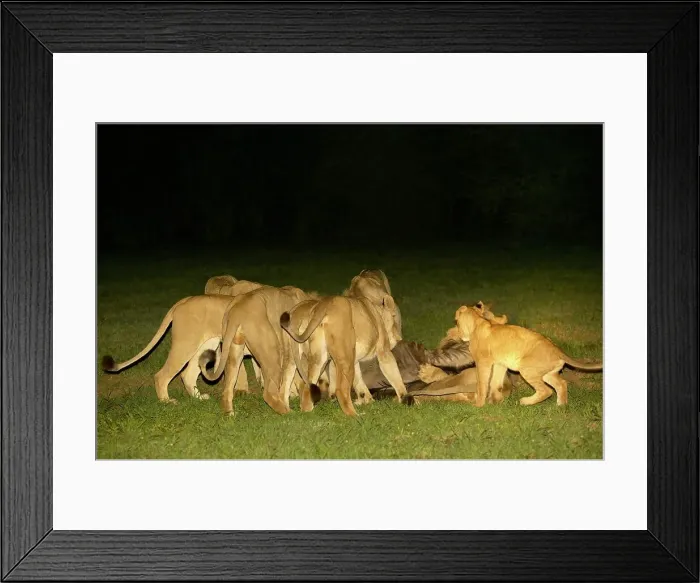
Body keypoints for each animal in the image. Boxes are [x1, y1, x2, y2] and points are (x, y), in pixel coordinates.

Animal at [455, 301, 603, 407]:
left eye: (456, 323)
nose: (459, 334)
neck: (478, 321)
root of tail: (557, 350)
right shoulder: (500, 363)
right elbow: (495, 382)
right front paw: (495, 401)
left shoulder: (483, 362)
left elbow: (482, 384)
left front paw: (479, 405)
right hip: (546, 373)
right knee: (562, 384)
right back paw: (560, 406)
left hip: (526, 369)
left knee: (547, 391)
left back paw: (524, 402)